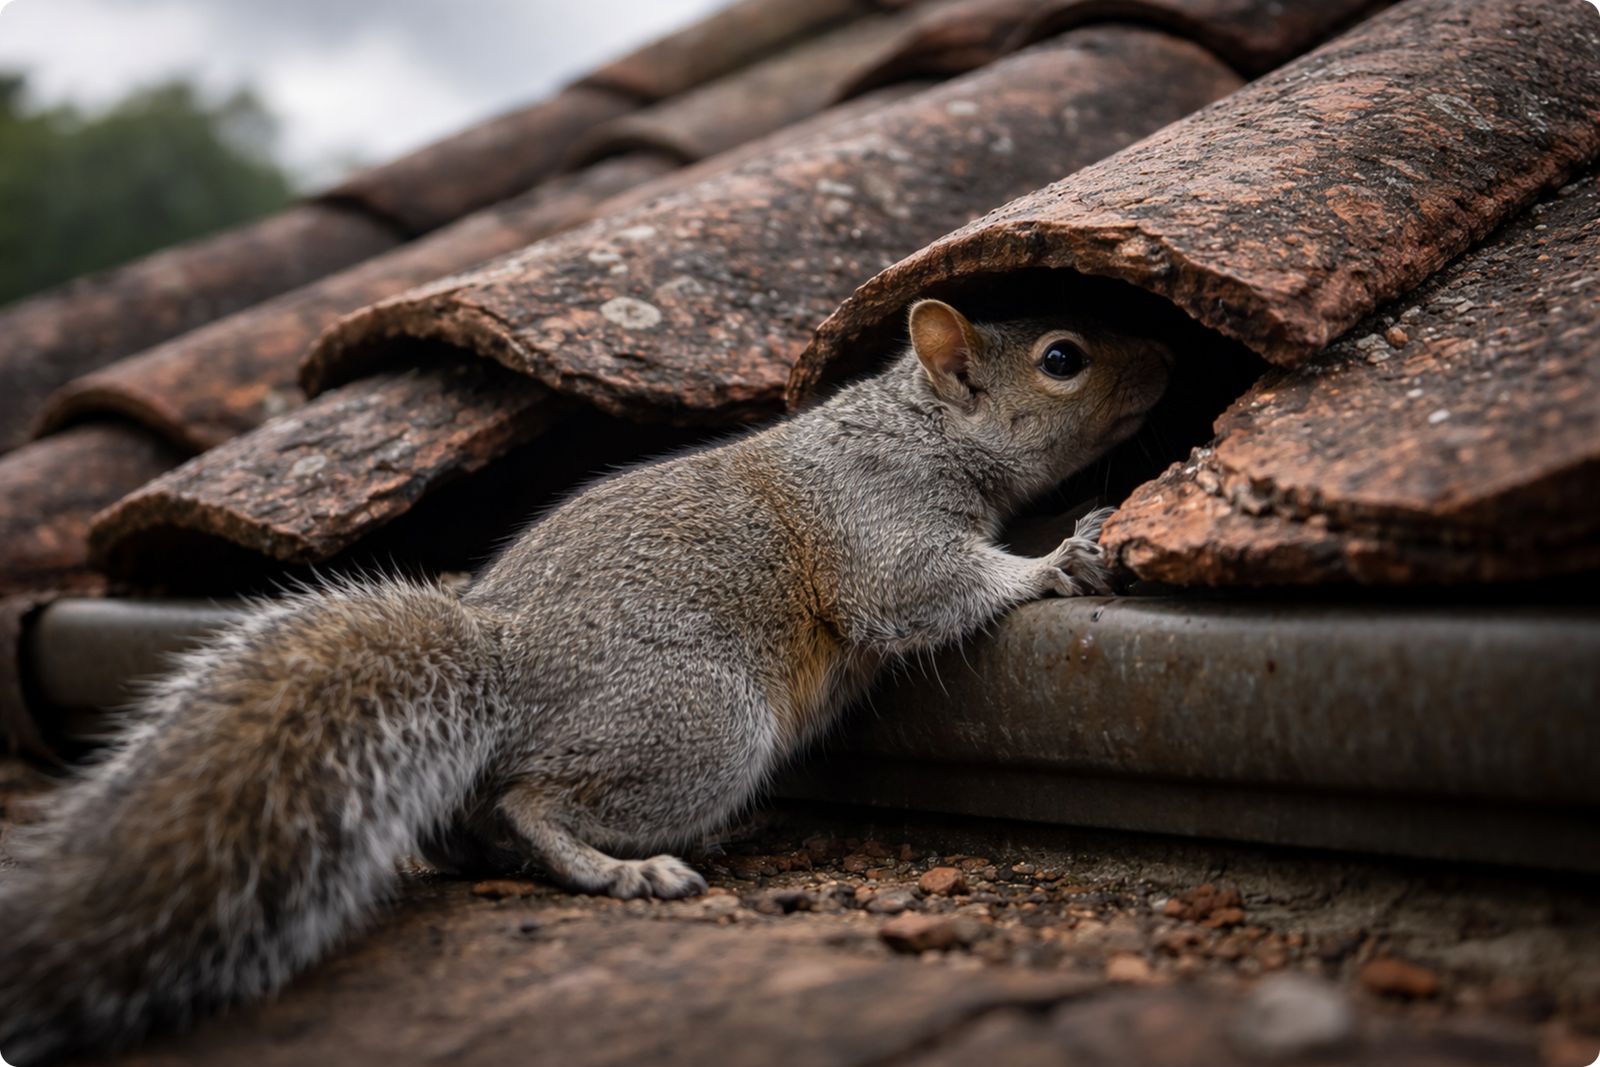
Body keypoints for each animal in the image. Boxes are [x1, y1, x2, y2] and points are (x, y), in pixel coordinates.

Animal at [0, 298, 1171, 1063]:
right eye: (1063, 357)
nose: (1166, 356)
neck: (918, 424)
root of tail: (506, 670)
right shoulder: (872, 516)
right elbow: (920, 586)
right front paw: (1055, 559)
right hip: (703, 722)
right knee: (530, 804)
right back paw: (628, 867)